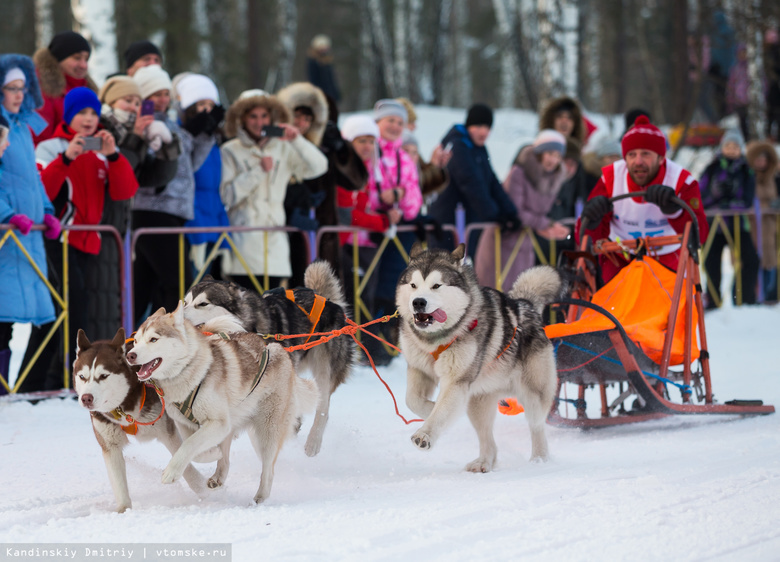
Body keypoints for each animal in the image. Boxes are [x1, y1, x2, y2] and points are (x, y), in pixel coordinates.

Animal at [73, 324, 206, 512]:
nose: (86, 398)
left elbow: (184, 460)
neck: (124, 410)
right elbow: (119, 483)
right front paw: (124, 510)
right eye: (82, 376)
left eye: (104, 376)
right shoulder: (110, 445)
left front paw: (203, 487)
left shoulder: (167, 433)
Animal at [128, 304, 316, 500]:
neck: (190, 372)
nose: (130, 355)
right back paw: (219, 474)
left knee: (269, 469)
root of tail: (280, 351)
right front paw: (212, 453)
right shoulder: (185, 424)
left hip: (266, 432)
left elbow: (190, 444)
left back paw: (260, 497)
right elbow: (194, 448)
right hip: (237, 425)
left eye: (153, 339)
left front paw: (172, 472)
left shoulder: (218, 423)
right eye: (135, 341)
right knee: (227, 457)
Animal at [181, 260, 352, 456]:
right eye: (185, 302)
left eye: (203, 304)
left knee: (323, 407)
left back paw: (313, 442)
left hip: (323, 367)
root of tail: (327, 301)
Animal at [396, 243, 560, 470]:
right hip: (478, 402)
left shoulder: (457, 381)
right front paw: (430, 409)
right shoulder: (419, 369)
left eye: (436, 286)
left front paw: (425, 433)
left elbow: (441, 410)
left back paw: (539, 459)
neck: (436, 339)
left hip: (534, 394)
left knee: (536, 426)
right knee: (486, 436)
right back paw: (484, 462)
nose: (418, 302)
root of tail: (525, 304)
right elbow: (412, 400)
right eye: (413, 285)